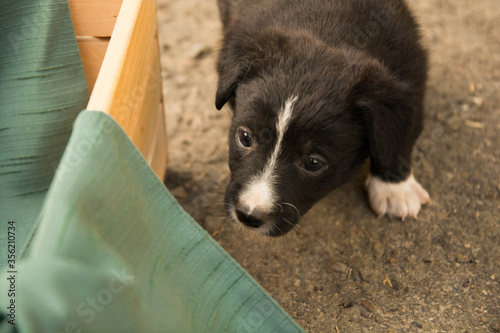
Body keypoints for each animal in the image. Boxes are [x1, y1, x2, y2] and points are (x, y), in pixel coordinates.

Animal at [215, 0, 430, 236]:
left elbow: (402, 135)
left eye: (313, 163)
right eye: (245, 138)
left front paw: (395, 189)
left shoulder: (411, 71)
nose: (248, 215)